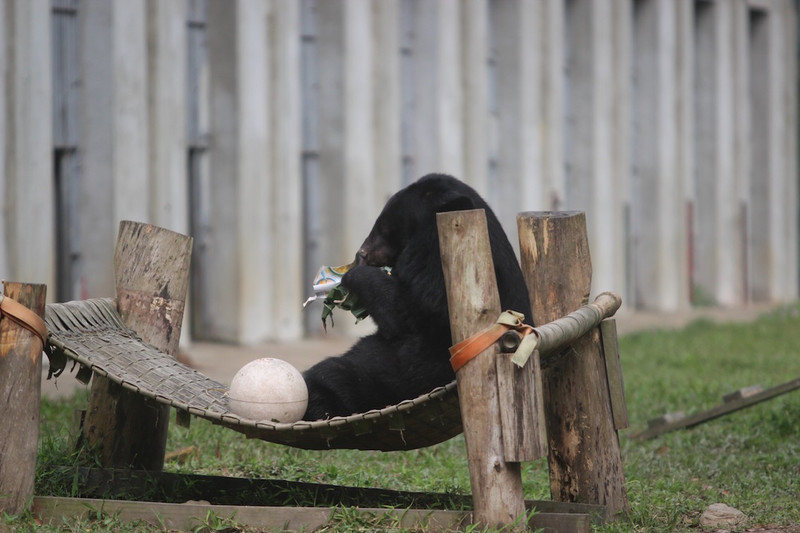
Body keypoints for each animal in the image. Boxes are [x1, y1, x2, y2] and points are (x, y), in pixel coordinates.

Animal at [300, 174, 532, 420]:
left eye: (384, 227)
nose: (362, 253)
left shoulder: (435, 254)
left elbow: (411, 313)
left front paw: (353, 276)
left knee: (339, 375)